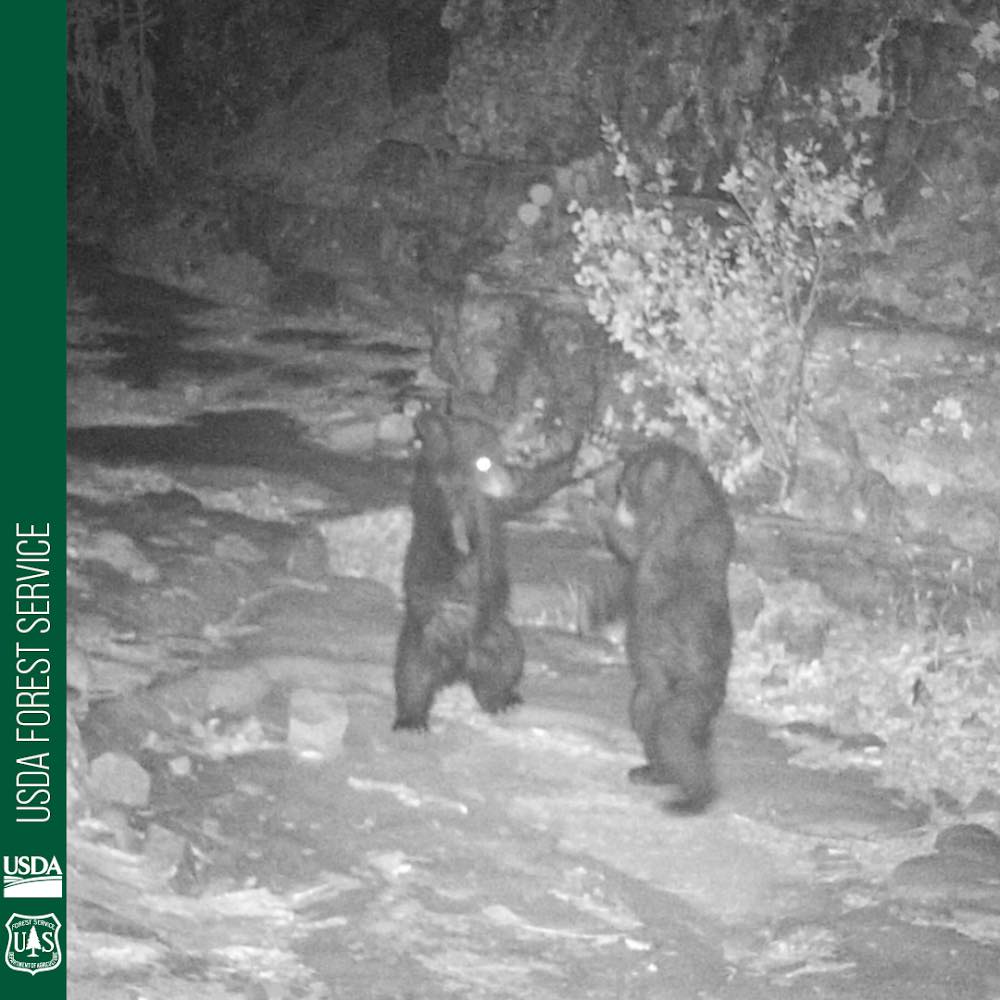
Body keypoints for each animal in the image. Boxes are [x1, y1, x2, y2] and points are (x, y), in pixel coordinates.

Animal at [393, 407, 578, 731]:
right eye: (483, 460)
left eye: (499, 456)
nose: (506, 480)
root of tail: (458, 665)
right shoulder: (438, 502)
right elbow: (445, 532)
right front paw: (462, 541)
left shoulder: (493, 507)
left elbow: (528, 492)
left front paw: (575, 457)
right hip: (423, 635)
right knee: (412, 675)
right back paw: (411, 720)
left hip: (496, 634)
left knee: (506, 666)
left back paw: (504, 700)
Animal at [598, 439, 735, 814]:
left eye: (626, 486)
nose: (616, 496)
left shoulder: (670, 535)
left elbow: (633, 546)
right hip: (650, 696)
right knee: (647, 721)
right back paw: (652, 772)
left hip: (689, 701)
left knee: (676, 738)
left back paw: (693, 798)